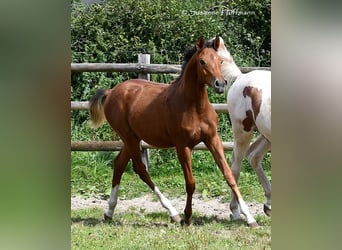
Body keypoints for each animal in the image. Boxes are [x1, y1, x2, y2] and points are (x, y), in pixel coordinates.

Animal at [88, 36, 256, 227]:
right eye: (202, 61)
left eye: (220, 61)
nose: (220, 84)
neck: (194, 107)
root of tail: (111, 92)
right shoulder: (182, 146)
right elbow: (190, 183)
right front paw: (187, 217)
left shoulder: (212, 139)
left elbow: (229, 176)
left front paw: (250, 217)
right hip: (129, 137)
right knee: (140, 169)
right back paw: (172, 212)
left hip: (131, 139)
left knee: (119, 164)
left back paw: (109, 212)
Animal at [207, 36, 272, 219]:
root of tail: (240, 77)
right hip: (243, 130)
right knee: (236, 165)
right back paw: (236, 212)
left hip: (266, 136)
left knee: (253, 156)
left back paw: (268, 205)